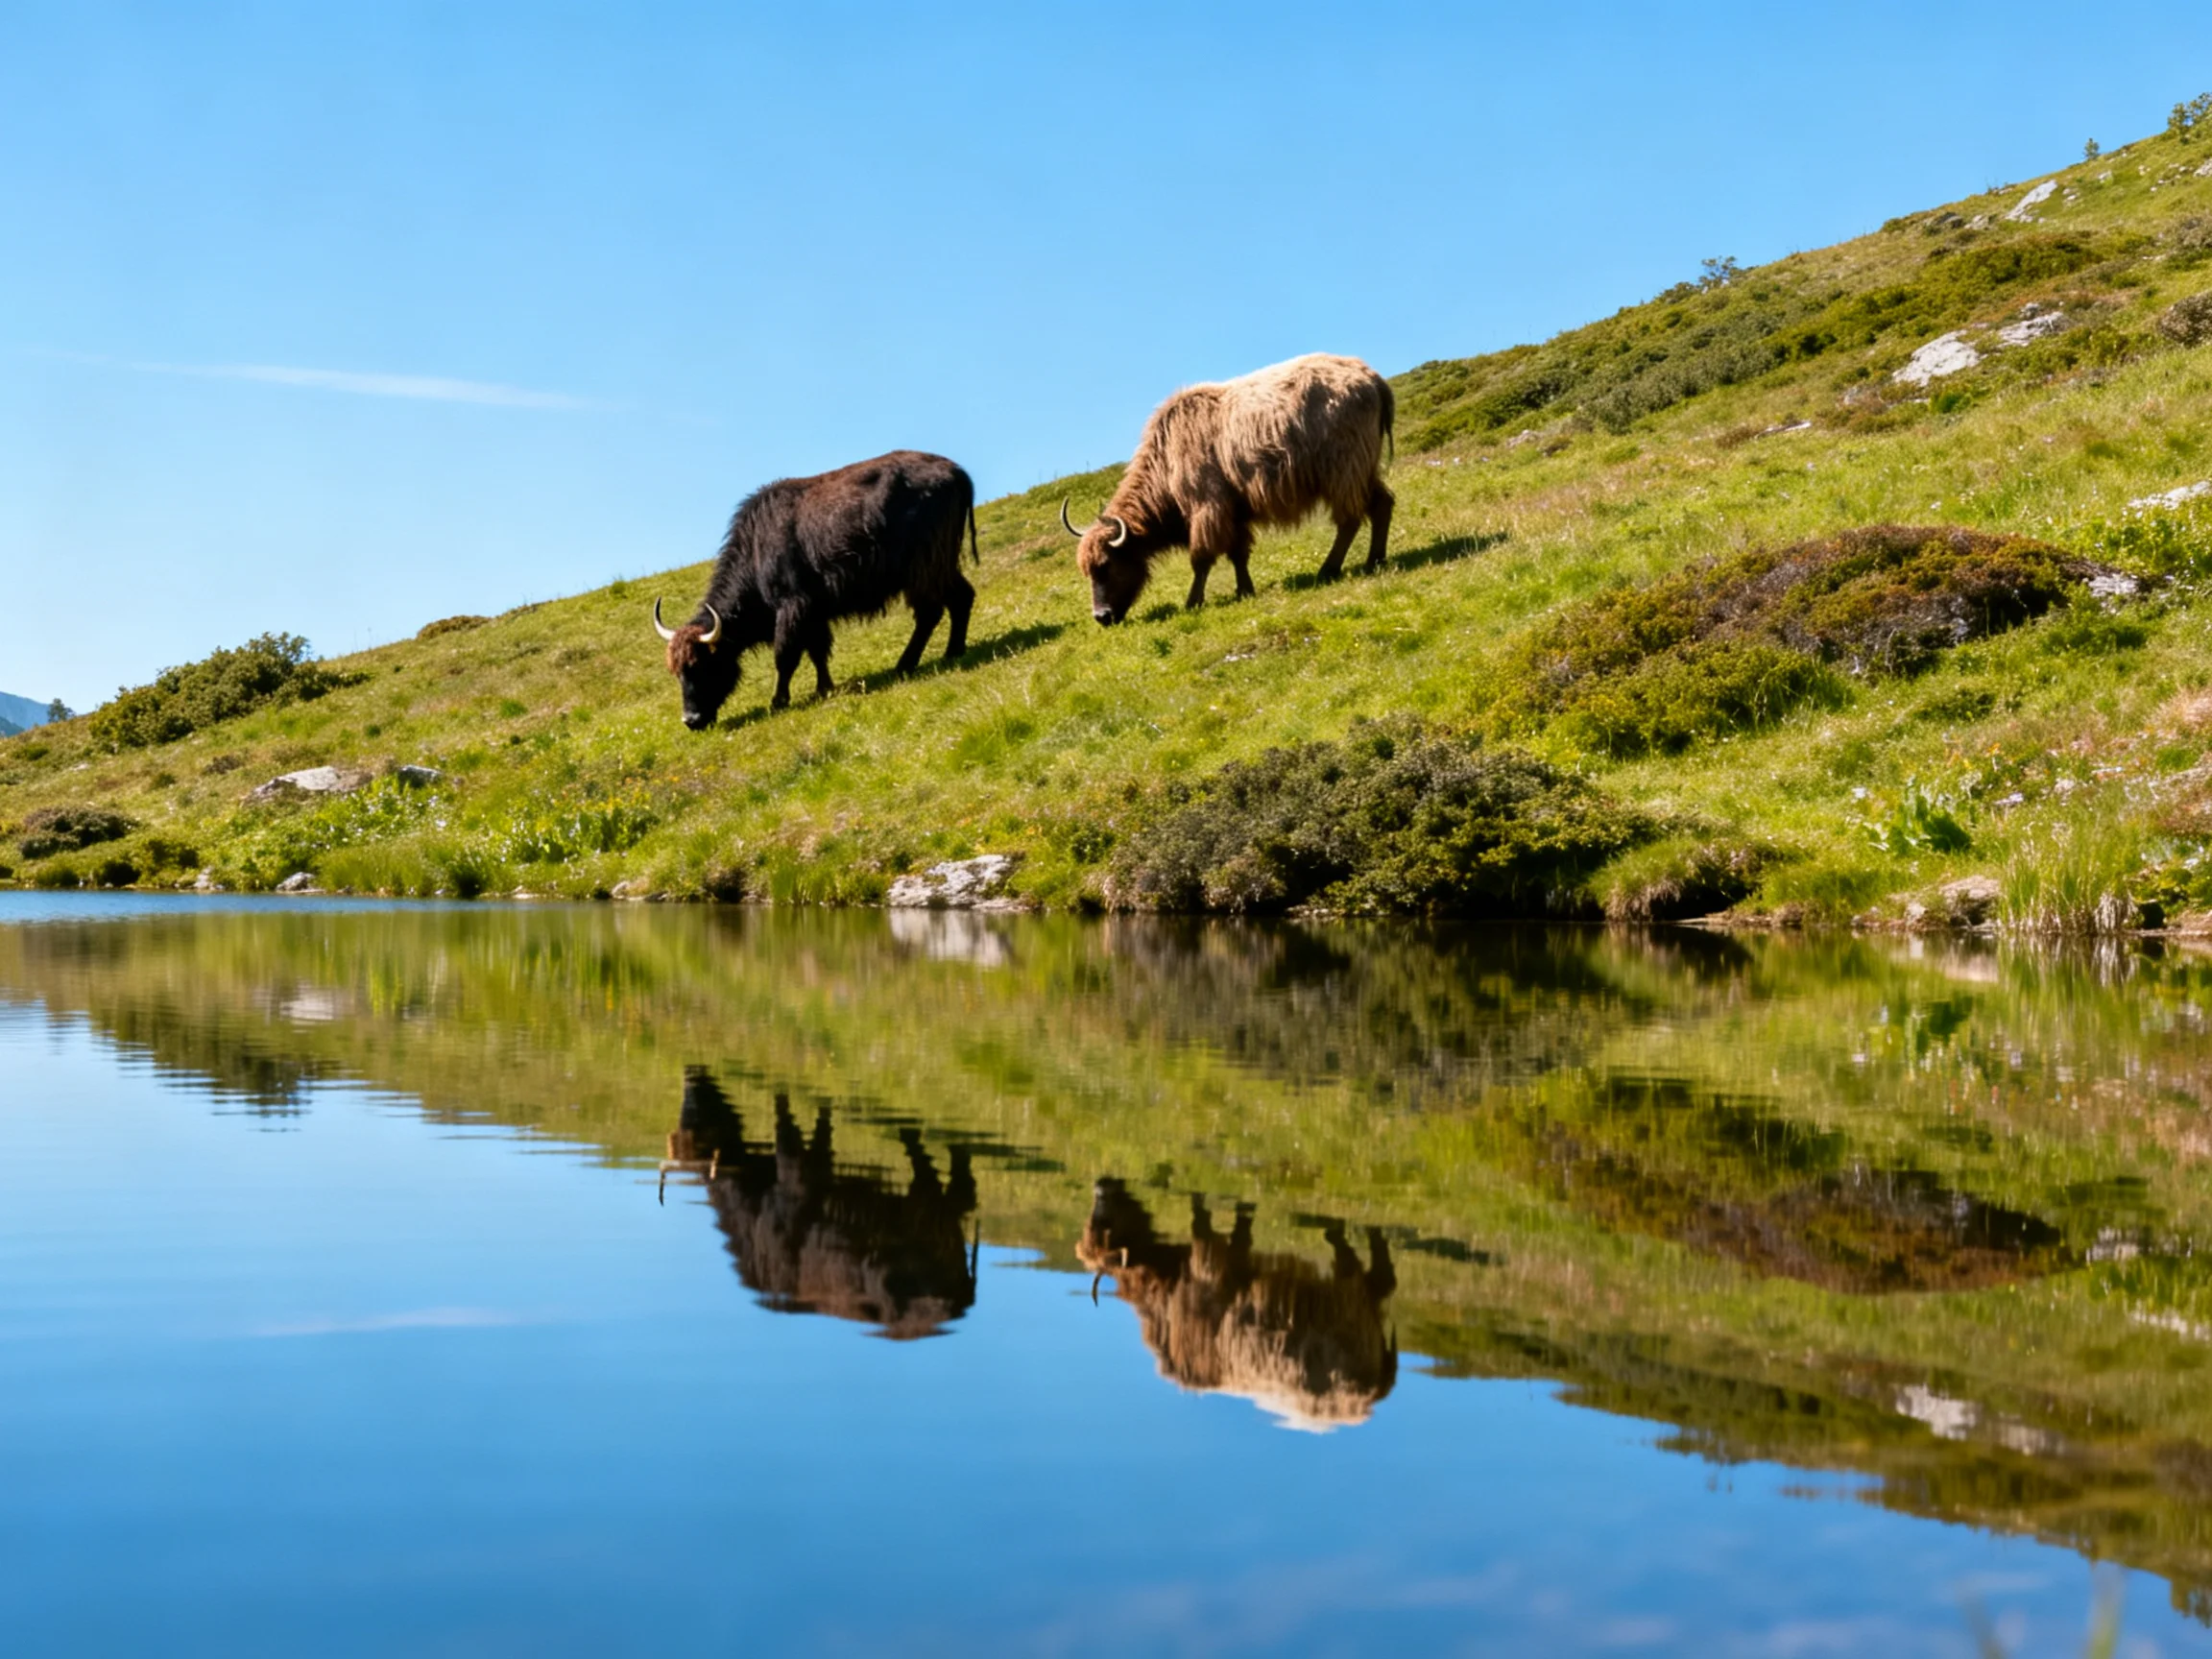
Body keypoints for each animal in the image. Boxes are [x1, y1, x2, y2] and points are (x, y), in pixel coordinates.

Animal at [653, 450, 978, 727]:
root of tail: (957, 471)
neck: (756, 552)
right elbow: (818, 651)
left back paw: (906, 664)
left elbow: (786, 656)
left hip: (924, 569)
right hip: (943, 566)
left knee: (930, 612)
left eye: (701, 665)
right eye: (677, 672)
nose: (691, 720)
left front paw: (779, 701)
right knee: (961, 598)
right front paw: (825, 688)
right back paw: (952, 652)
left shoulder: (792, 607)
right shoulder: (814, 614)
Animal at [662, 1069, 979, 1340]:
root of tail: (958, 1303)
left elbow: (785, 1119)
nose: (691, 1074)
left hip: (923, 1206)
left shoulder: (796, 1165)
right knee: (961, 1190)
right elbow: (820, 1125)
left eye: (694, 1120)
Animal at [1061, 354, 1395, 625]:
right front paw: (1245, 589)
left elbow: (1202, 558)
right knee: (1381, 505)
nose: (1101, 617)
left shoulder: (1208, 508)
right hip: (1363, 471)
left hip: (1343, 471)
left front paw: (1193, 601)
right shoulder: (1234, 513)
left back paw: (1329, 568)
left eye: (1106, 566)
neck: (1168, 460)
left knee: (1349, 519)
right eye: (1088, 571)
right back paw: (1374, 560)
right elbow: (1238, 553)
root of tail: (1371, 378)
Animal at [1077, 1178, 1398, 1430]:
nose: (1101, 1184)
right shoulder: (1224, 1259)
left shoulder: (1210, 1259)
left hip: (1347, 1303)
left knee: (1366, 1270)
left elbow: (1204, 1220)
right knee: (1379, 1279)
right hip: (1356, 1307)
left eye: (1104, 1224)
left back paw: (1346, 1229)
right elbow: (1235, 1227)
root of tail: (1374, 1391)